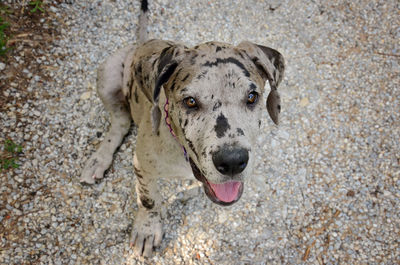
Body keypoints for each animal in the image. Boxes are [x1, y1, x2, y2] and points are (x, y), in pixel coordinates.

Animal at [79, 0, 284, 256]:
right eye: (191, 101)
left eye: (252, 97)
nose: (233, 161)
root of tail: (140, 44)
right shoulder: (141, 165)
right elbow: (148, 199)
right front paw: (147, 229)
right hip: (107, 73)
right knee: (120, 121)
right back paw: (99, 159)